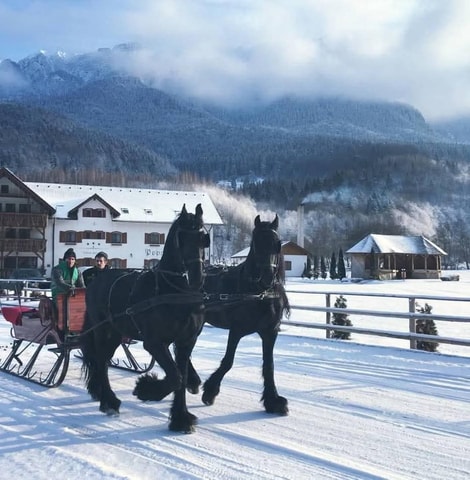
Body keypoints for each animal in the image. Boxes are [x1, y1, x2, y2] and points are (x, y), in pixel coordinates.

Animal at [81, 203, 210, 433]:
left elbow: (182, 375)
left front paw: (180, 418)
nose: (196, 278)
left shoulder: (186, 341)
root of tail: (97, 279)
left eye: (203, 238)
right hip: (103, 331)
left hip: (116, 333)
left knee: (101, 360)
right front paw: (146, 389)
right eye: (182, 237)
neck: (174, 291)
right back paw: (108, 402)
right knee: (101, 361)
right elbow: (175, 377)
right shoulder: (155, 343)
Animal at [195, 214, 290, 414]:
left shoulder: (270, 332)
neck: (259, 293)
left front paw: (273, 400)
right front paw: (210, 391)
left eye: (277, 244)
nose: (267, 276)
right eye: (256, 243)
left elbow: (269, 365)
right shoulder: (236, 330)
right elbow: (228, 361)